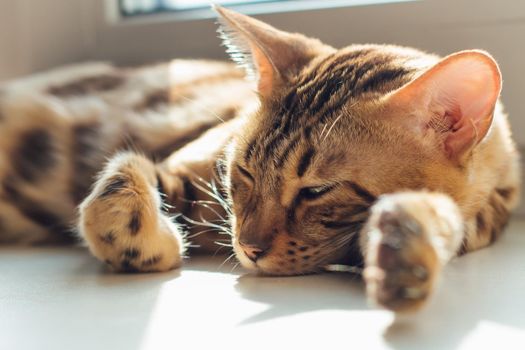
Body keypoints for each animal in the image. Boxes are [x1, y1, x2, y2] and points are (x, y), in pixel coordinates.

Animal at [0, 5, 516, 312]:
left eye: (317, 190)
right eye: (244, 171)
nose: (247, 249)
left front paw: (404, 249)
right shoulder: (179, 166)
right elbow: (112, 190)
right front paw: (152, 245)